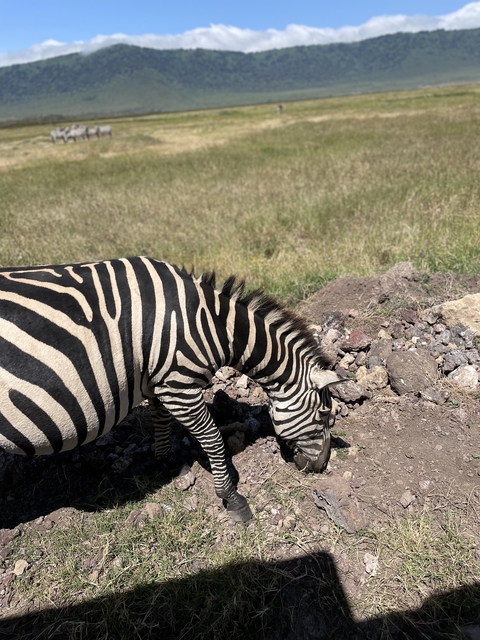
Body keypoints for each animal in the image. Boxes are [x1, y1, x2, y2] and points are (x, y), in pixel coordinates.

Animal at [0, 258, 342, 521]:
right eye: (325, 414)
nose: (321, 467)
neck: (211, 324)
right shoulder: (179, 385)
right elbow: (213, 439)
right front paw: (232, 499)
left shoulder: (160, 380)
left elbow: (161, 420)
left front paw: (166, 463)